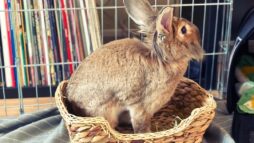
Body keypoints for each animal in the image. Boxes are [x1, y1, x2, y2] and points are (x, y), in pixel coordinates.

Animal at [66, 0, 204, 133]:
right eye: (184, 30)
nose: (199, 34)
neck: (162, 58)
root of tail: (73, 103)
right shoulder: (141, 106)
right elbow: (140, 123)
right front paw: (147, 133)